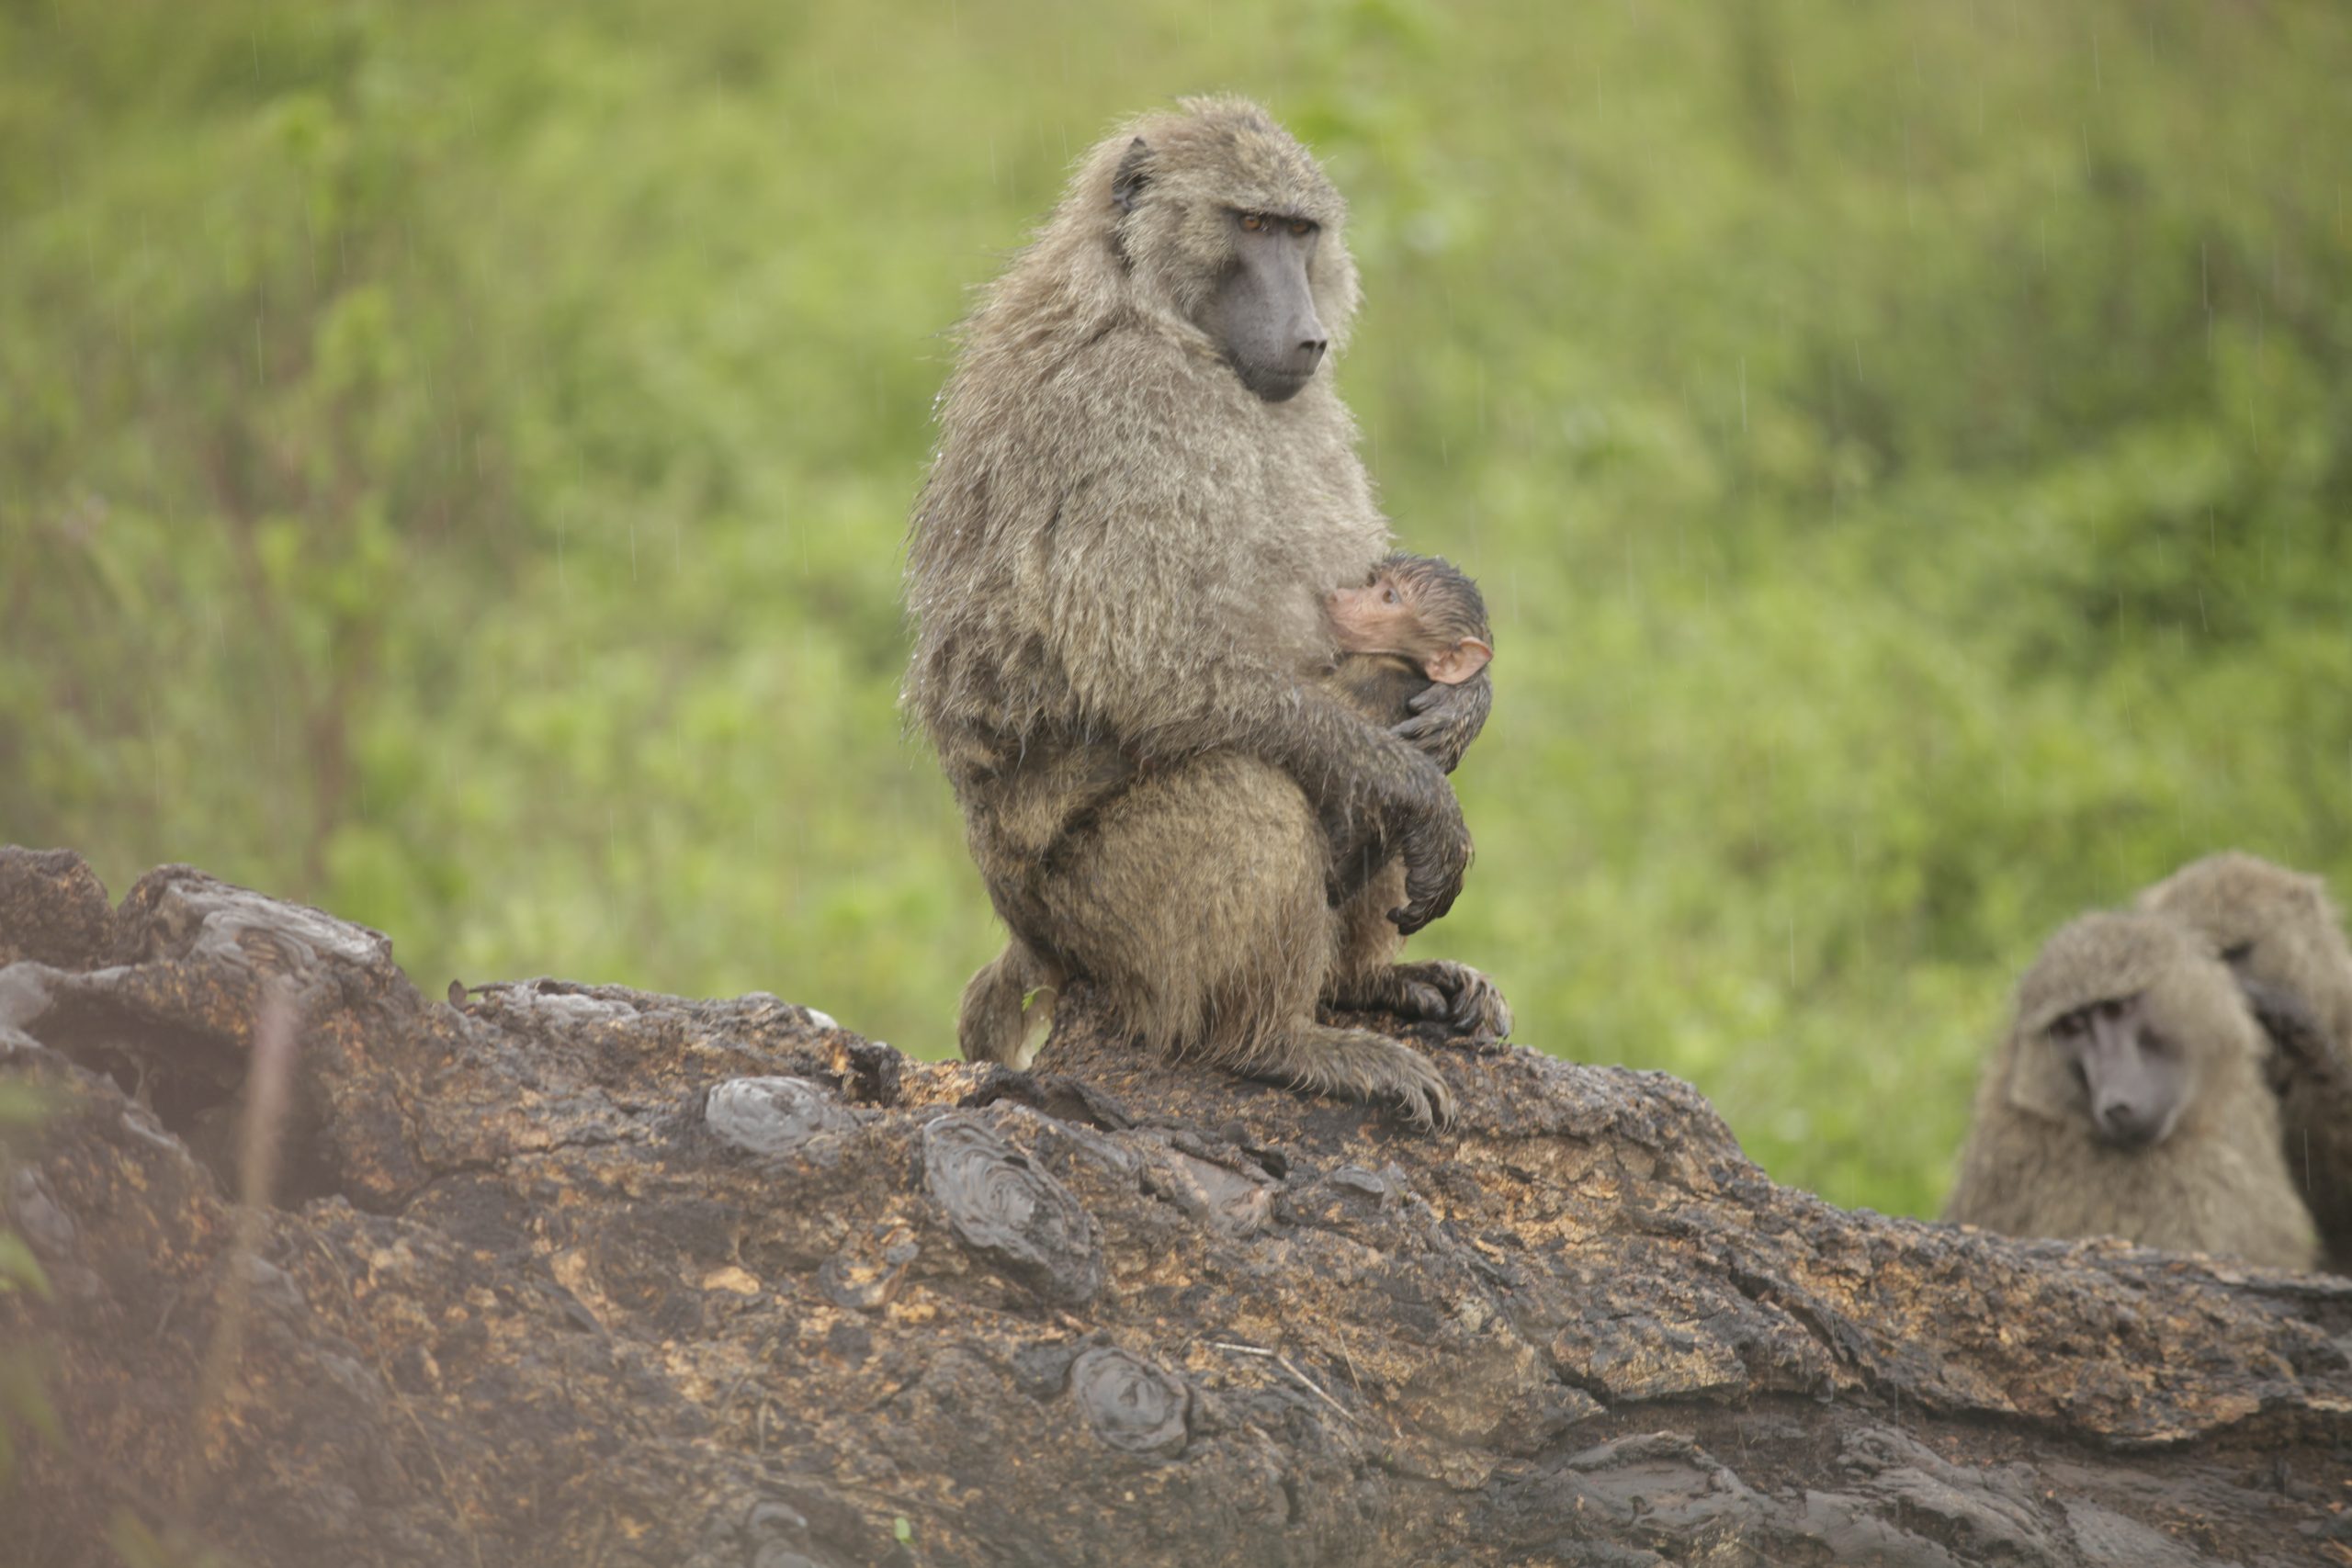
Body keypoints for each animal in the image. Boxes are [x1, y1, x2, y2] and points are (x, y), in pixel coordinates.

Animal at [905, 100, 1499, 1126]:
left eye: (1300, 232)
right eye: (1251, 224)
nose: (1307, 337)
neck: (1152, 310)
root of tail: (1029, 938)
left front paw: (1466, 704)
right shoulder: (1123, 407)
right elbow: (1152, 668)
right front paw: (1427, 795)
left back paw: (1365, 984)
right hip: (1095, 920)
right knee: (1249, 786)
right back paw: (1279, 1040)